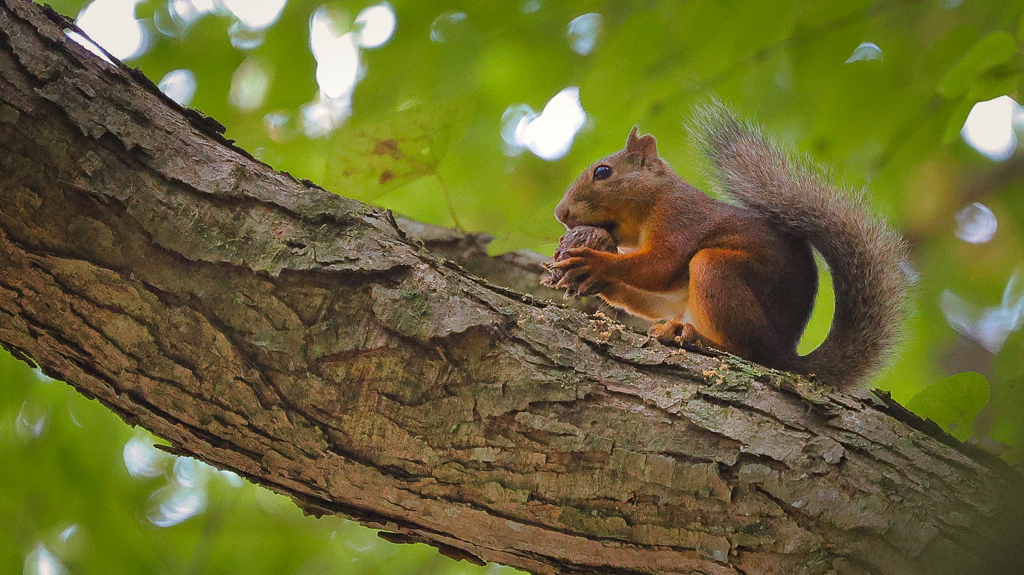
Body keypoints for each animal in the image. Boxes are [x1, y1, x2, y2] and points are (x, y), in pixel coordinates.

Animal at [548, 102, 909, 388]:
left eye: (603, 172)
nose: (560, 213)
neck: (656, 198)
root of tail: (786, 355)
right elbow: (657, 299)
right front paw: (594, 279)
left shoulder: (680, 218)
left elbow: (660, 266)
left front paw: (595, 262)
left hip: (716, 271)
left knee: (748, 352)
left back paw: (695, 337)